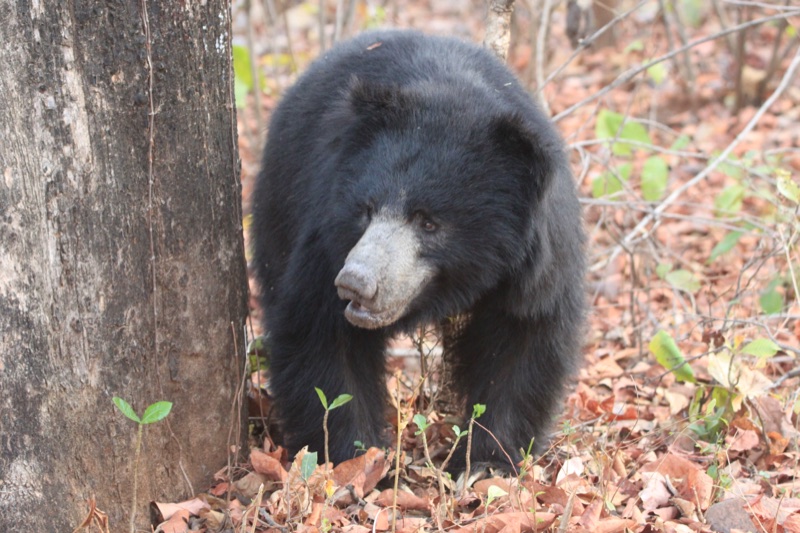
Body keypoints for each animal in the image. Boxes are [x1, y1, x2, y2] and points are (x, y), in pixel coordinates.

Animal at [251, 29, 585, 469]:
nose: (355, 283)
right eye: (366, 210)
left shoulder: (538, 262)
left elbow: (524, 336)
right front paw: (353, 458)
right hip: (278, 206)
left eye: (428, 222)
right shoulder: (323, 233)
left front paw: (486, 461)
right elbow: (320, 336)